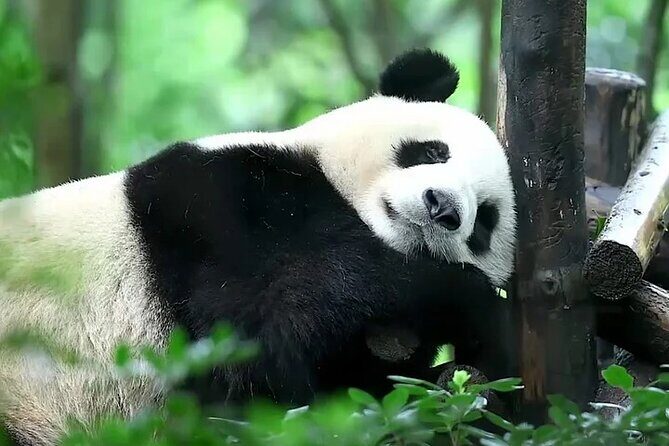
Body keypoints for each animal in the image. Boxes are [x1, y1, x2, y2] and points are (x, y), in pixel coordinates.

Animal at [0, 49, 516, 445]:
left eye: (485, 223)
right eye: (432, 151)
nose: (443, 208)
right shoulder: (221, 208)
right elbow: (261, 335)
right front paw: (466, 301)